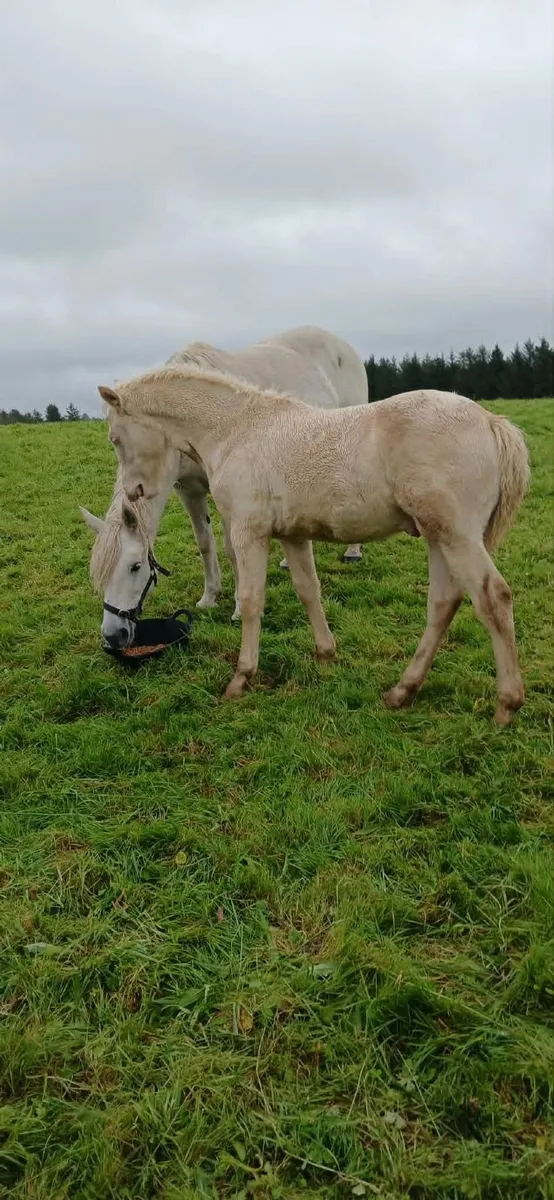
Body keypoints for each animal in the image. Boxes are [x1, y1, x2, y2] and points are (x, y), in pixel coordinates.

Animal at [80, 326, 368, 646]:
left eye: (136, 566)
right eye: (100, 575)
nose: (113, 636)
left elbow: (232, 549)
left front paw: (239, 609)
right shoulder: (189, 491)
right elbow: (205, 543)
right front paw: (210, 596)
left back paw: (353, 551)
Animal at [97, 364, 530, 725]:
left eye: (115, 438)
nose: (134, 491)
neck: (237, 430)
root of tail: (491, 422)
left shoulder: (249, 532)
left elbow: (251, 600)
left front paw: (241, 678)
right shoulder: (293, 534)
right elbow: (308, 590)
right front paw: (325, 655)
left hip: (457, 537)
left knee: (494, 598)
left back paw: (506, 706)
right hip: (438, 537)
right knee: (442, 603)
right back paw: (402, 691)